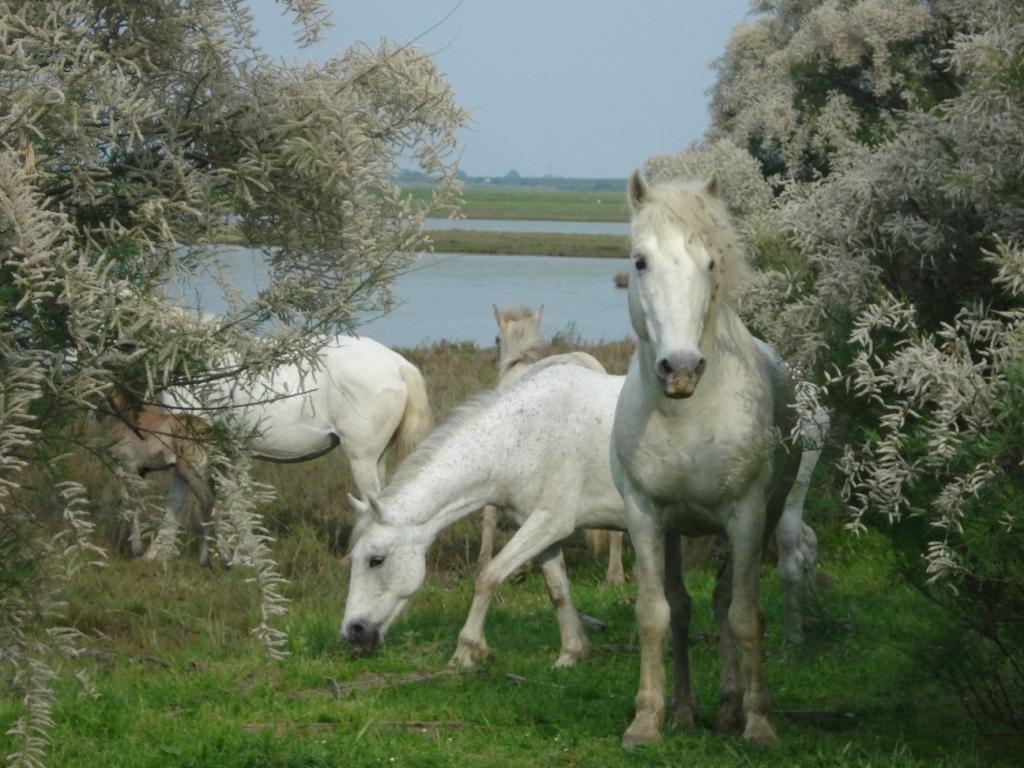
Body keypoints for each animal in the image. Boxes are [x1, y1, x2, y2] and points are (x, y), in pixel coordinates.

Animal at [610, 171, 802, 749]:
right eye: (640, 261)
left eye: (711, 262)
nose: (680, 368)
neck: (686, 413)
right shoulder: (644, 514)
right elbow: (656, 613)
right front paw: (646, 721)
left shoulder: (747, 514)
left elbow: (744, 616)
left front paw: (758, 722)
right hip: (676, 530)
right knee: (683, 607)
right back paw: (685, 710)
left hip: (761, 519)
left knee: (723, 603)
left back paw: (730, 707)